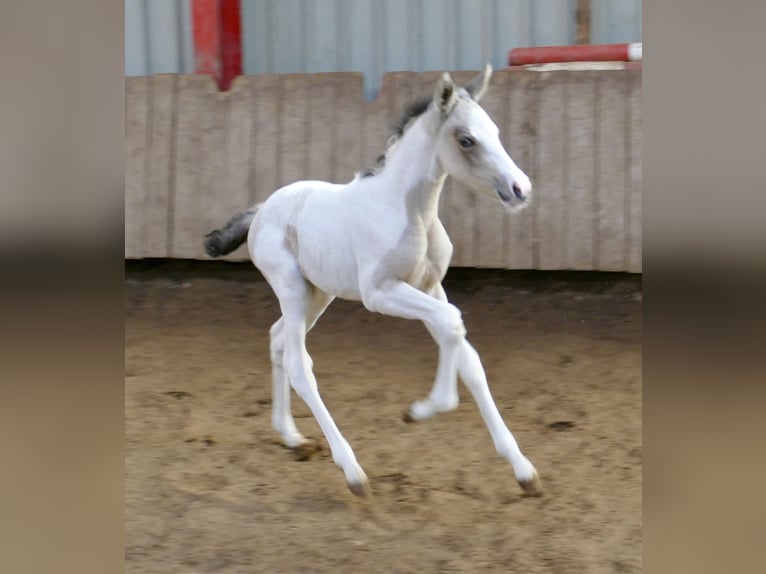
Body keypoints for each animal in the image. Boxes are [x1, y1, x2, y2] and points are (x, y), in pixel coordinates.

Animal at [204, 65, 542, 497]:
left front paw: (523, 470)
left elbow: (468, 356)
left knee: (277, 339)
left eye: (496, 131)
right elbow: (452, 321)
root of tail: (262, 209)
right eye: (466, 139)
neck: (410, 212)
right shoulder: (380, 293)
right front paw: (420, 410)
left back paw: (291, 437)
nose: (520, 189)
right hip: (292, 289)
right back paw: (352, 472)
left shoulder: (430, 286)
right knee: (299, 363)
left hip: (318, 294)